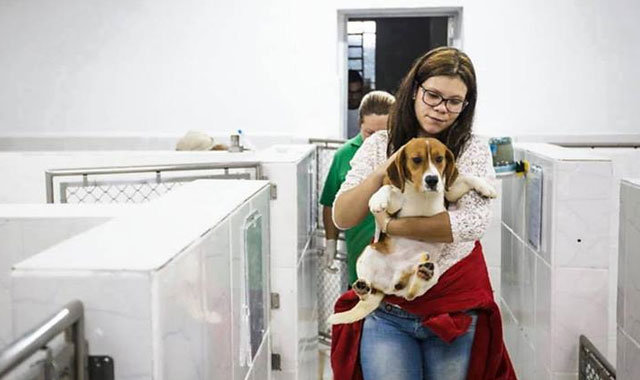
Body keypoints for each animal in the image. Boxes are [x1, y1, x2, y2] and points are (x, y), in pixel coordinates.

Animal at [328, 137, 498, 324]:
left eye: (439, 159)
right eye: (416, 160)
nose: (432, 180)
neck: (420, 192)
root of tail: (389, 285)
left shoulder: (448, 192)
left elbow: (466, 178)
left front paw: (485, 187)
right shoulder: (394, 208)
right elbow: (389, 188)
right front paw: (377, 199)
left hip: (435, 269)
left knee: (409, 294)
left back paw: (423, 274)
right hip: (368, 252)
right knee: (371, 293)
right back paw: (363, 288)